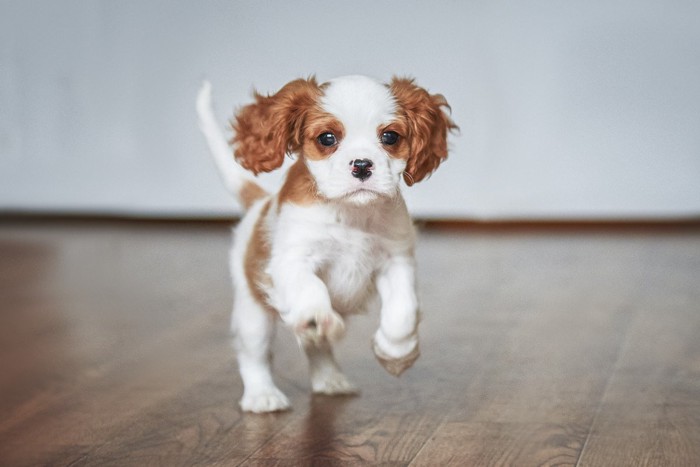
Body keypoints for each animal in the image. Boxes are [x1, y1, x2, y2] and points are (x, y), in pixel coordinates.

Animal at [198, 74, 460, 414]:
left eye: (390, 136)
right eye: (327, 138)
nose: (361, 165)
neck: (350, 213)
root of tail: (258, 204)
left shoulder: (396, 259)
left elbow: (403, 311)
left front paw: (396, 354)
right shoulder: (291, 260)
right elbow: (311, 289)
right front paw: (314, 316)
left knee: (318, 349)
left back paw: (329, 378)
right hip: (252, 311)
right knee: (254, 354)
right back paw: (262, 395)